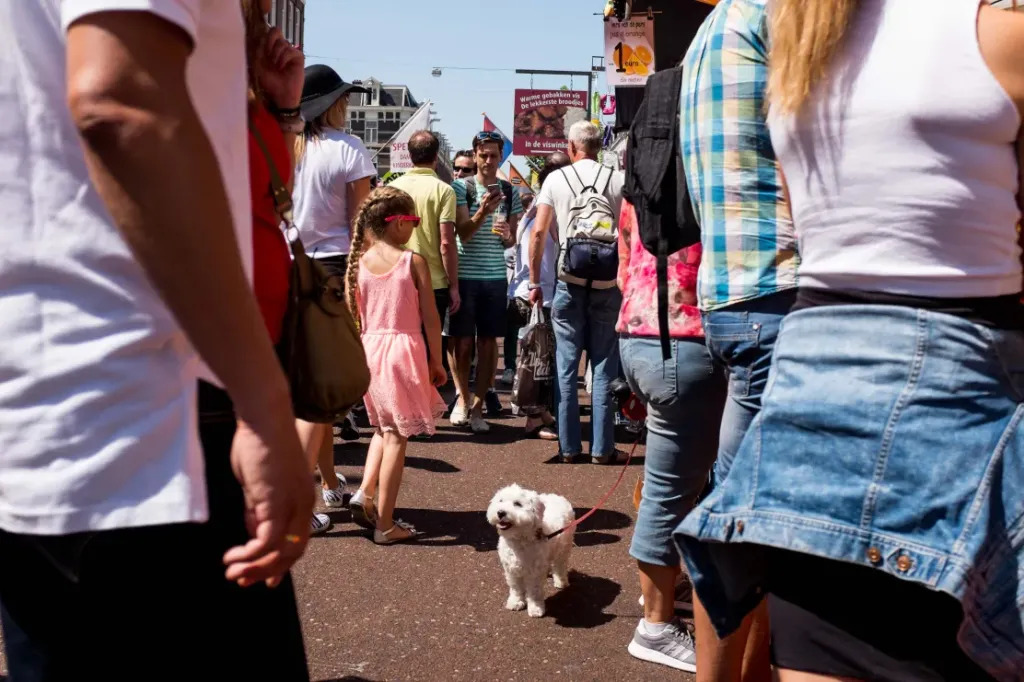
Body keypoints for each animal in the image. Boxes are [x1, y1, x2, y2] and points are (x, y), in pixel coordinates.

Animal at [483, 483, 573, 614]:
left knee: (559, 565)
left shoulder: (535, 572)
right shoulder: (511, 570)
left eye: (517, 504)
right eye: (501, 501)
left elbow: (534, 591)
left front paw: (535, 608)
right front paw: (516, 602)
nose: (500, 512)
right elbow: (516, 588)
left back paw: (561, 581)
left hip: (563, 547)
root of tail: (557, 496)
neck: (520, 540)